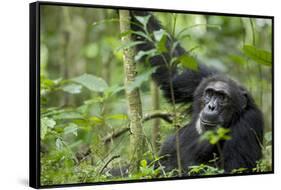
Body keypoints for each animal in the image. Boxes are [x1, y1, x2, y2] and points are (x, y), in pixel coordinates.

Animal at [131, 11, 262, 174]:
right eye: (209, 94)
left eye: (222, 97)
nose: (211, 106)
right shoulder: (200, 80)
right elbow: (172, 65)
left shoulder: (249, 124)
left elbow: (234, 167)